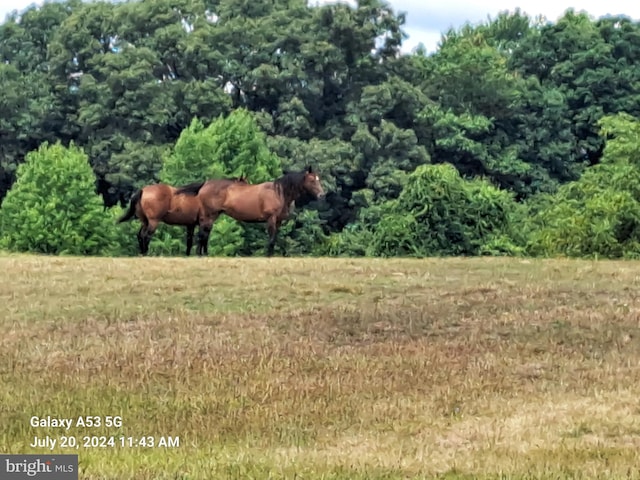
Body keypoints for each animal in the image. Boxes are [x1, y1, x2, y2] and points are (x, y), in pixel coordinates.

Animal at [116, 177, 246, 255]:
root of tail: (142, 190)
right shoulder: (206, 223)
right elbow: (203, 237)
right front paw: (203, 254)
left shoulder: (191, 224)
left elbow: (190, 240)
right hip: (153, 222)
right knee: (146, 236)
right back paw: (146, 253)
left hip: (145, 221)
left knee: (140, 235)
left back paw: (142, 253)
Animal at [175, 166, 324, 255]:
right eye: (312, 180)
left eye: (318, 179)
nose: (322, 195)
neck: (278, 192)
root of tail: (205, 184)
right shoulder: (271, 219)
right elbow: (271, 239)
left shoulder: (278, 221)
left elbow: (274, 239)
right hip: (208, 215)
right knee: (202, 235)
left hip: (212, 216)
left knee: (204, 234)